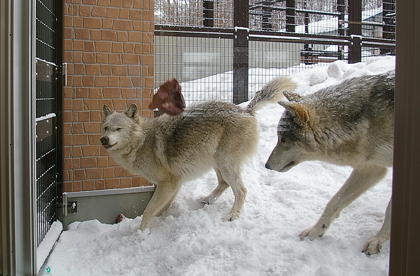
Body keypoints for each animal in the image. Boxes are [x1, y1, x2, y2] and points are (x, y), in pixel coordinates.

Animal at [100, 76, 296, 230]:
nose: (104, 140)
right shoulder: (175, 183)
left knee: (241, 191)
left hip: (224, 162)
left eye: (118, 129)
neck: (141, 142)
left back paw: (232, 216)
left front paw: (140, 234)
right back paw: (207, 200)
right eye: (105, 128)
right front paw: (160, 220)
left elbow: (149, 210)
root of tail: (246, 110)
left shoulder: (168, 183)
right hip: (216, 161)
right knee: (224, 184)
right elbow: (163, 208)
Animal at [266, 71, 394, 254]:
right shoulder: (370, 168)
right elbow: (334, 201)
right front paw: (316, 231)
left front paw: (378, 240)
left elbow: (390, 209)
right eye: (279, 138)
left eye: (283, 139)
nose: (267, 165)